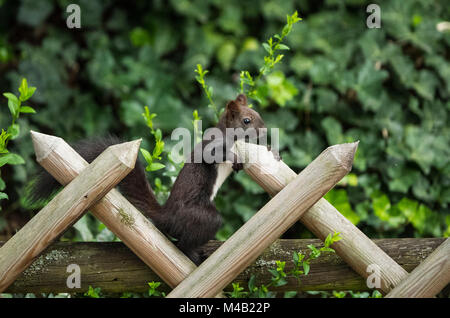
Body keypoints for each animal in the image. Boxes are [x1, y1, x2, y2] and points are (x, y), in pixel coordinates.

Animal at [28, 93, 278, 264]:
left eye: (258, 116)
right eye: (247, 120)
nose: (266, 131)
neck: (230, 136)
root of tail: (166, 215)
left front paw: (272, 151)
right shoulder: (213, 145)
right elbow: (214, 153)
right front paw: (236, 158)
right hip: (199, 217)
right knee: (185, 239)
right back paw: (191, 253)